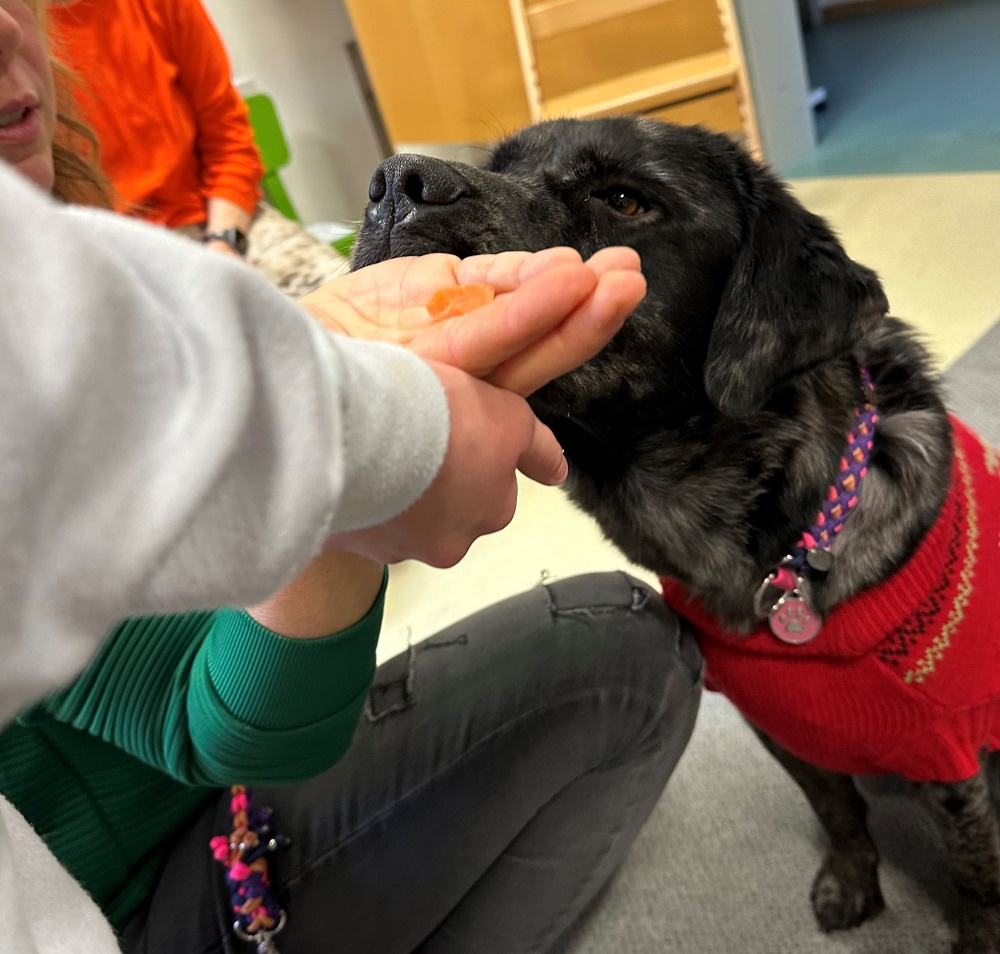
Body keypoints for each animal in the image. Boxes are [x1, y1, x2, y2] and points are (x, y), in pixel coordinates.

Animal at [353, 116, 1000, 954]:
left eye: (626, 200)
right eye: (500, 163)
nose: (394, 182)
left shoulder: (949, 762)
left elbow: (975, 881)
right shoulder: (782, 730)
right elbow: (839, 812)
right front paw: (853, 880)